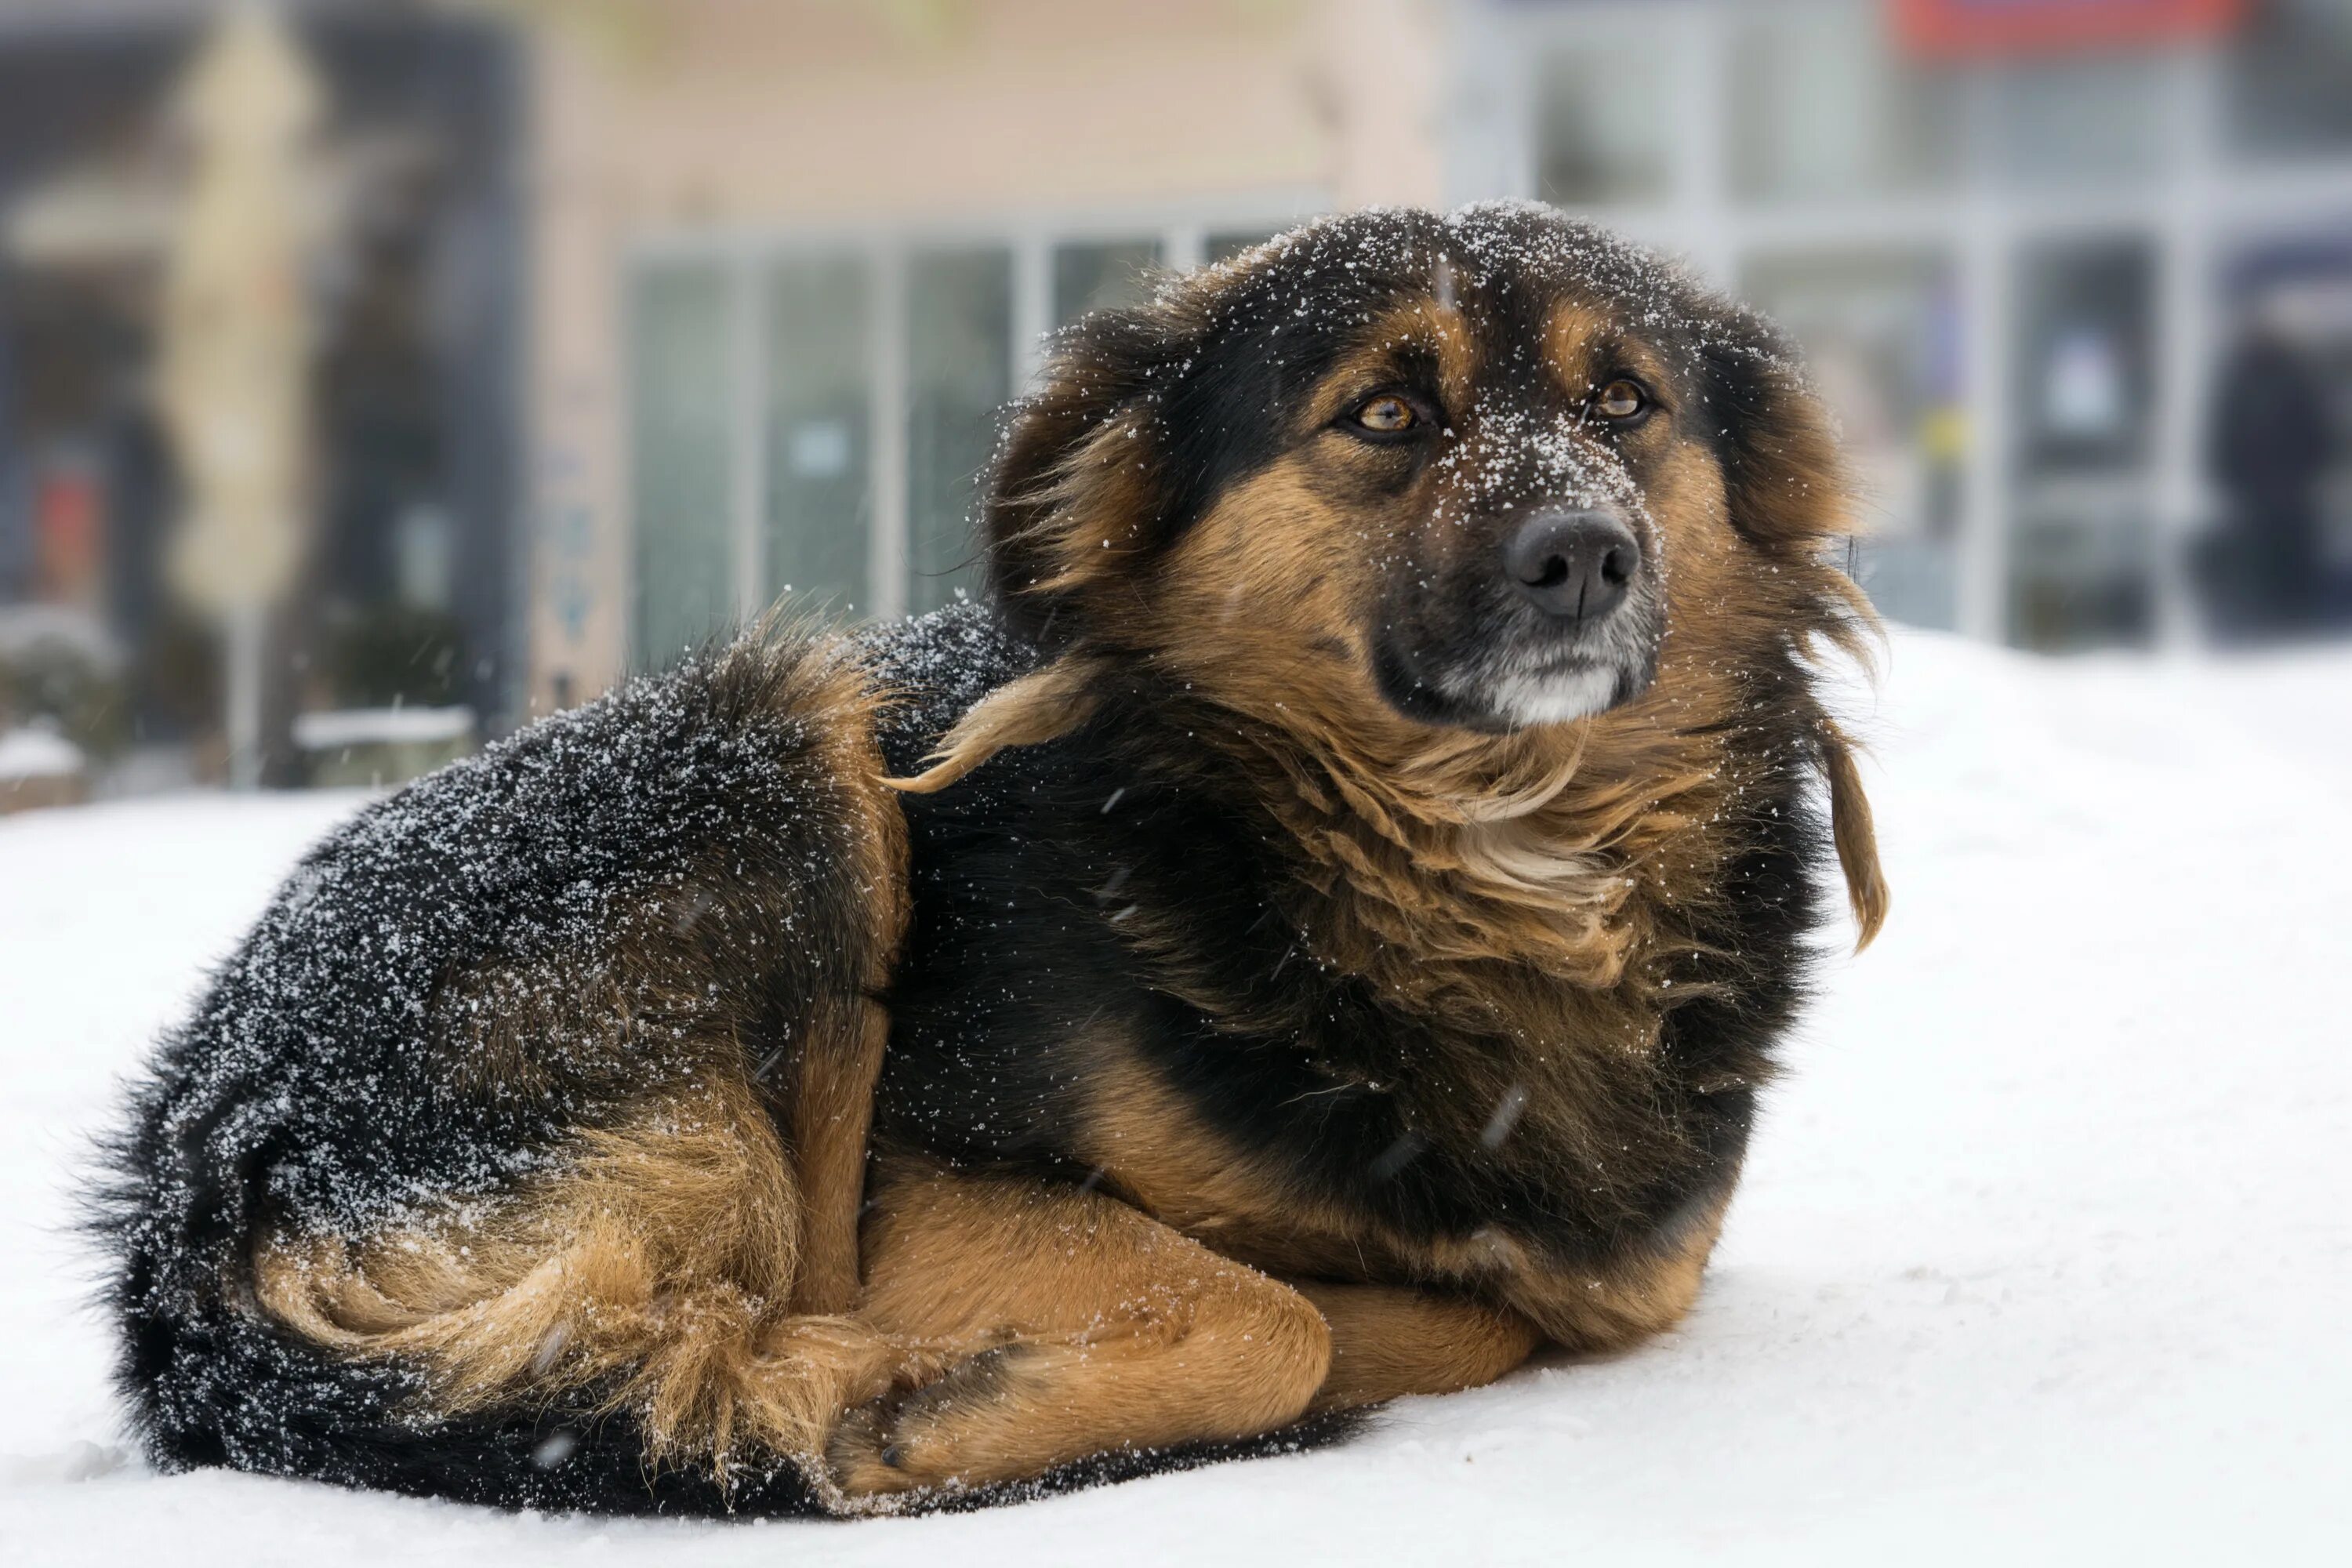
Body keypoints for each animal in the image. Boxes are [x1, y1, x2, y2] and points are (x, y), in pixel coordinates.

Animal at [101, 201, 1882, 1514]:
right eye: (1385, 412)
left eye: (1624, 403)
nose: (1584, 555)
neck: (1489, 853)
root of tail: (187, 1211)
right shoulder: (937, 1178)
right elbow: (1280, 1319)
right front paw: (944, 1399)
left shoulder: (1631, 1279)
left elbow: (1482, 1306)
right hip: (782, 751)